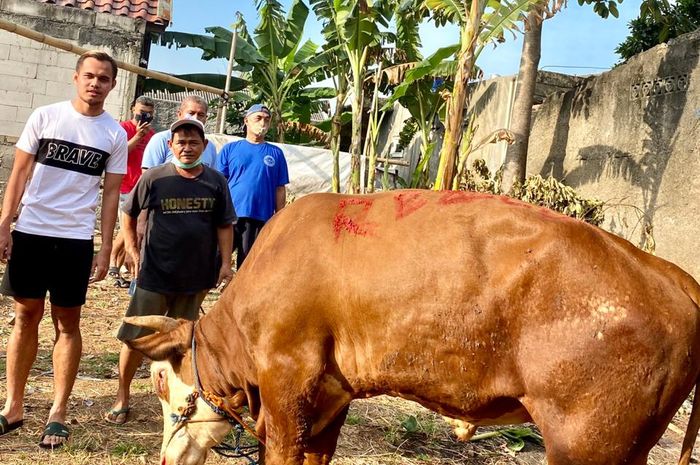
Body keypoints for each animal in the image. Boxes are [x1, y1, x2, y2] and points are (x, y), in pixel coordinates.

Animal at [129, 189, 700, 464]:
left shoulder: (287, 382)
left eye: (159, 383)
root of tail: (669, 273)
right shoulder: (330, 394)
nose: (163, 458)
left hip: (587, 444)